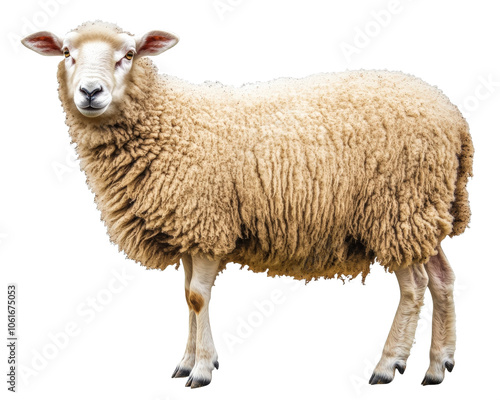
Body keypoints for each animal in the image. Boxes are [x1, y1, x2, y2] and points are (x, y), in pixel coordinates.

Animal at [20, 21, 472, 388]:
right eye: (66, 52)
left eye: (128, 55)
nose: (90, 92)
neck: (166, 121)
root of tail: (454, 118)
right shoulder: (188, 228)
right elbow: (186, 295)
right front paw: (187, 362)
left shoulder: (206, 221)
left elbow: (197, 297)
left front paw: (202, 370)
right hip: (423, 212)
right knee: (442, 278)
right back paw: (439, 365)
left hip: (397, 210)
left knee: (414, 286)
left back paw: (388, 364)